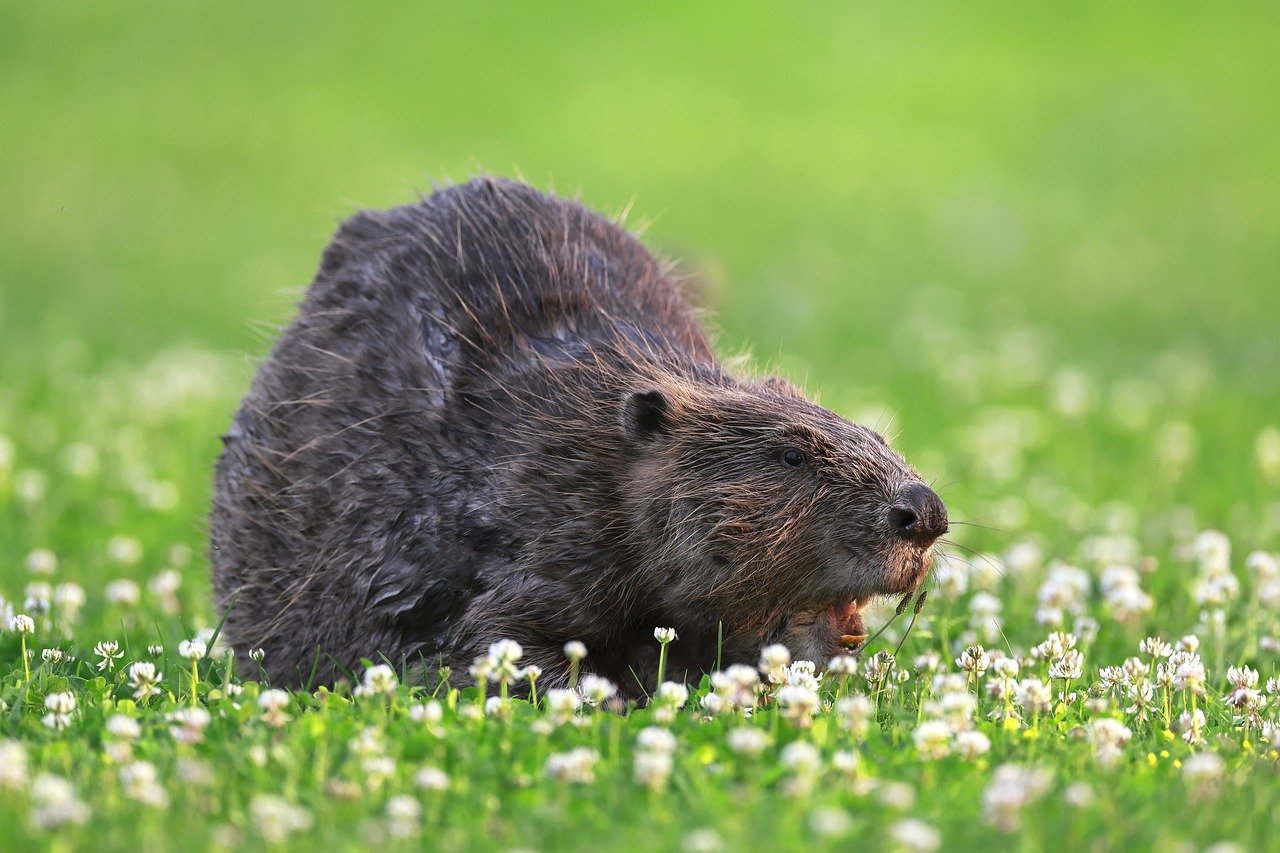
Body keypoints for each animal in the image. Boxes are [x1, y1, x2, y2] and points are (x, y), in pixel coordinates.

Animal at [212, 178, 952, 691]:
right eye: (791, 452)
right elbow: (496, 637)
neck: (589, 452)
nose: (924, 513)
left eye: (878, 436)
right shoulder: (529, 531)